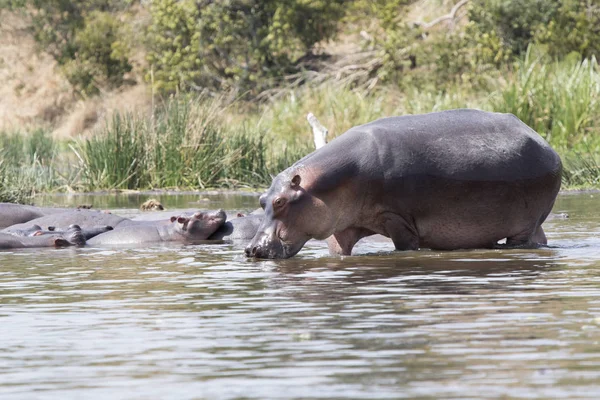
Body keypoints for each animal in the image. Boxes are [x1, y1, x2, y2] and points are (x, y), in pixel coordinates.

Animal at [244, 109, 564, 260]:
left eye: (280, 201)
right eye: (262, 200)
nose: (251, 248)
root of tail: (544, 143)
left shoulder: (397, 219)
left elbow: (405, 245)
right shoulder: (342, 225)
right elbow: (338, 249)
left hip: (523, 225)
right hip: (531, 224)